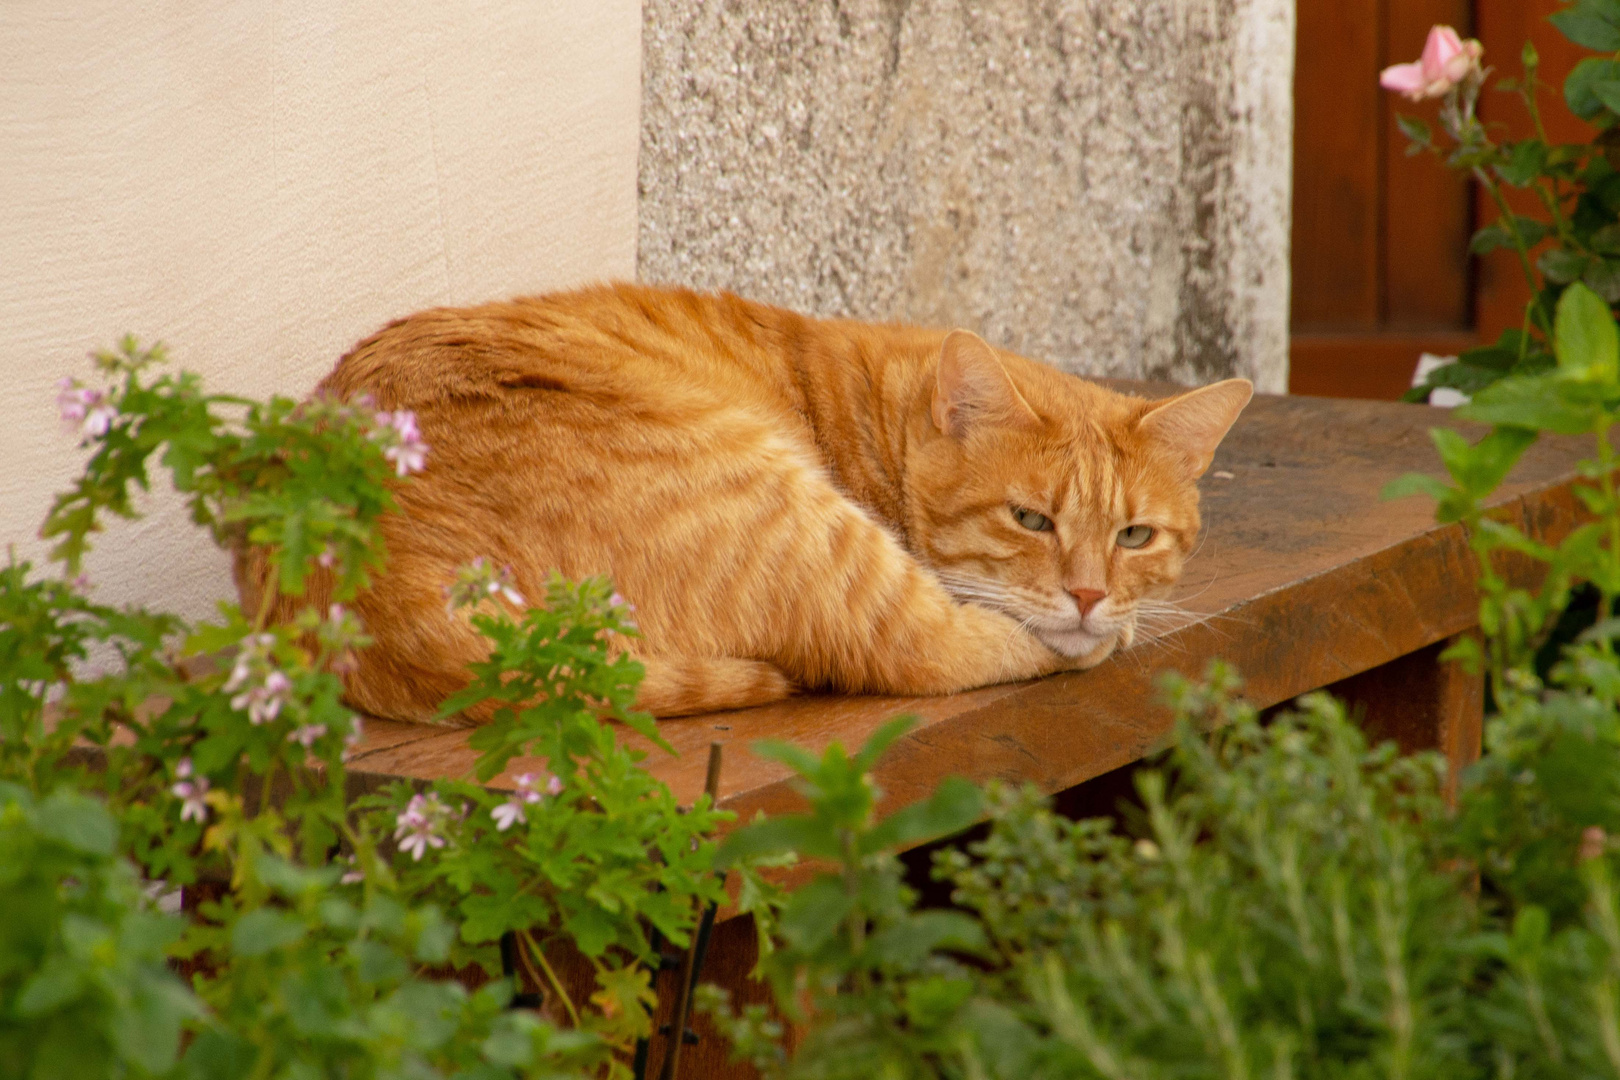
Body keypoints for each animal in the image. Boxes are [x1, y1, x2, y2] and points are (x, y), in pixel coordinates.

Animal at [236, 284, 1250, 725]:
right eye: (1029, 519)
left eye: (1136, 535)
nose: (1088, 595)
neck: (869, 407)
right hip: (792, 512)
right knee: (921, 650)